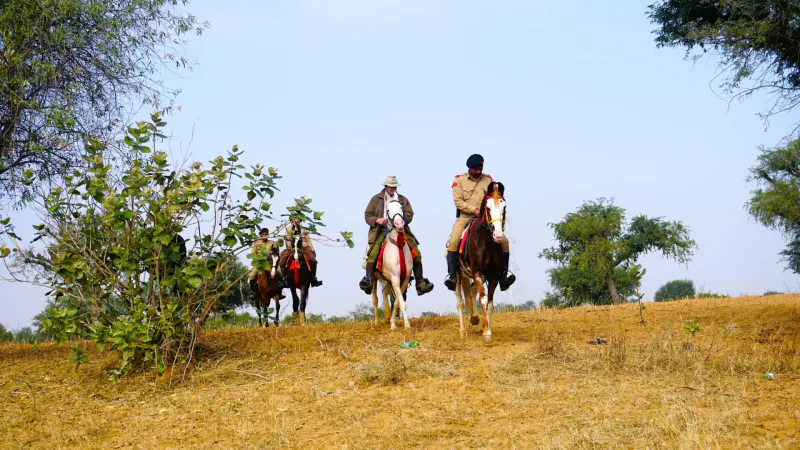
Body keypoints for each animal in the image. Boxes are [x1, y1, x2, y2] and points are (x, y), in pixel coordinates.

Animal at [370, 198, 413, 329]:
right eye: (388, 210)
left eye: (401, 207)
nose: (399, 224)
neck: (398, 245)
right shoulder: (395, 278)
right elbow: (401, 302)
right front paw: (407, 325)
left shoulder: (403, 279)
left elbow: (398, 302)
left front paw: (393, 323)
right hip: (374, 278)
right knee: (375, 298)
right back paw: (376, 322)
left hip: (388, 281)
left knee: (384, 294)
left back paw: (387, 317)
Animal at [453, 181, 507, 343]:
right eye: (488, 208)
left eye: (504, 207)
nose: (498, 235)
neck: (486, 243)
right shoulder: (478, 274)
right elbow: (483, 300)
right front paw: (486, 333)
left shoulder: (494, 276)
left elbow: (490, 304)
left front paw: (487, 328)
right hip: (458, 274)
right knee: (459, 302)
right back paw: (462, 331)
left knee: (471, 292)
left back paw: (475, 318)